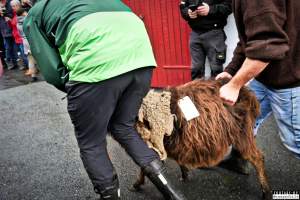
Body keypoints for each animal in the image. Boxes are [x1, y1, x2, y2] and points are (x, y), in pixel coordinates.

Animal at [134, 79, 272, 199]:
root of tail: (248, 94)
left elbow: (144, 167)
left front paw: (136, 184)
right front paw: (185, 174)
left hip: (242, 134)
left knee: (258, 158)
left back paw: (266, 192)